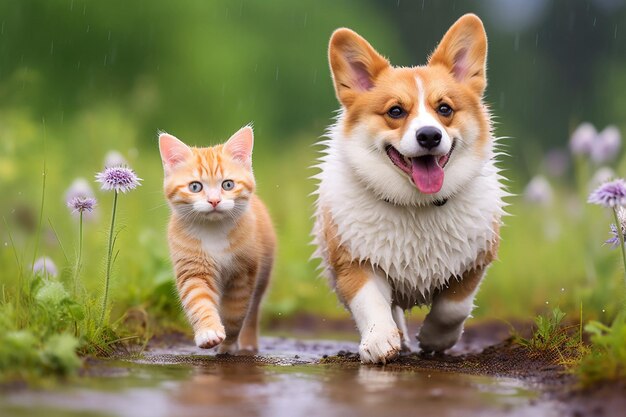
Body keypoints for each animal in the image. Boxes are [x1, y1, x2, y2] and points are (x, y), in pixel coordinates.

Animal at [158, 126, 272, 352]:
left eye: (228, 185)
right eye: (195, 187)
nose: (214, 200)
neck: (213, 231)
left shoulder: (243, 273)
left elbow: (236, 313)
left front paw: (228, 344)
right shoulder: (192, 269)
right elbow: (199, 301)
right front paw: (209, 332)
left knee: (253, 311)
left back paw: (248, 344)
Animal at [312, 14, 508, 362]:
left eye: (444, 109)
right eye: (395, 111)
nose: (429, 135)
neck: (416, 203)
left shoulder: (473, 263)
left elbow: (453, 308)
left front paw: (434, 340)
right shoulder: (354, 263)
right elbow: (371, 303)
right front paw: (380, 341)